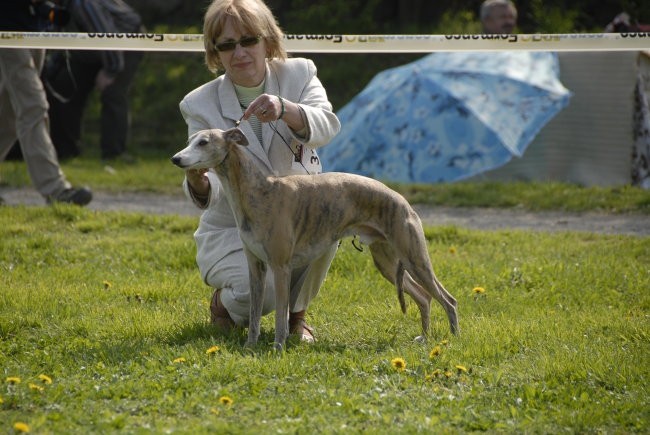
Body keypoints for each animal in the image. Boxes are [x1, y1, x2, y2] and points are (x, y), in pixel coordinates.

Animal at [170, 129, 458, 350]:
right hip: (387, 261)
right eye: (190, 139)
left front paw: (278, 348)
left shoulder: (280, 267)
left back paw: (453, 340)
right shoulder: (256, 268)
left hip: (415, 258)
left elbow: (280, 317)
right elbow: (253, 315)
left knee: (448, 300)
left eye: (203, 142)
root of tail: (402, 201)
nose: (175, 158)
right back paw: (424, 339)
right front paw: (250, 347)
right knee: (424, 297)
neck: (258, 191)